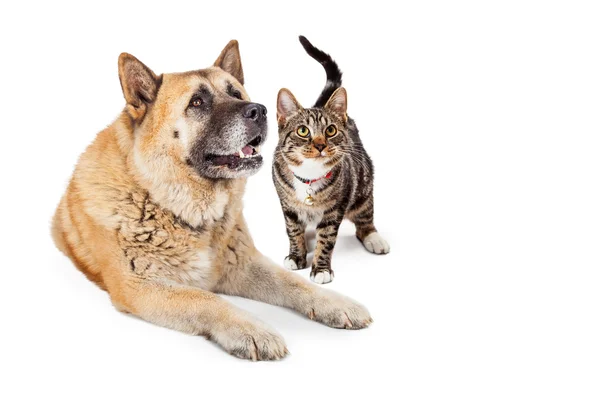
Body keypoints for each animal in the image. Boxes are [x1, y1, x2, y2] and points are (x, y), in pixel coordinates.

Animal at [50, 41, 370, 362]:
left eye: (236, 93)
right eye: (197, 102)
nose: (260, 110)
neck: (173, 206)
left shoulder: (243, 264)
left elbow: (293, 282)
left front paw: (335, 302)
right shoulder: (140, 286)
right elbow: (205, 299)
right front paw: (252, 330)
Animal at [272, 35, 390, 284]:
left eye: (331, 130)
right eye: (303, 131)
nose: (319, 145)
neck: (308, 176)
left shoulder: (336, 208)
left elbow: (327, 238)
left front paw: (321, 268)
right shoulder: (286, 203)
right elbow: (293, 229)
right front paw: (297, 255)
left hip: (363, 185)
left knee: (364, 220)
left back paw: (373, 238)